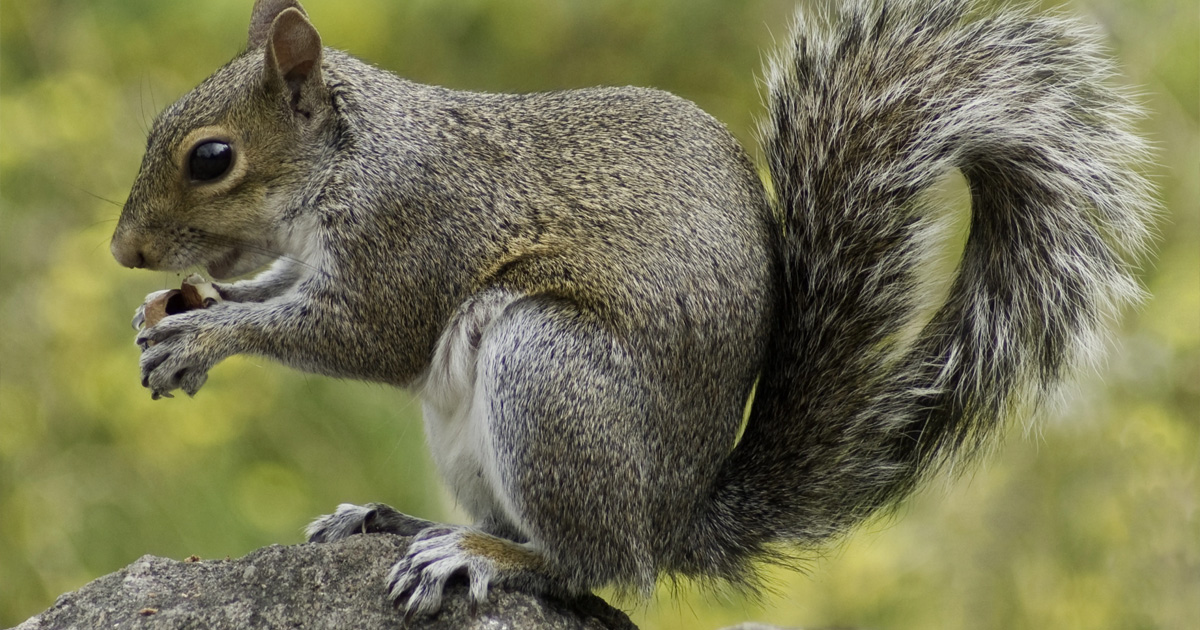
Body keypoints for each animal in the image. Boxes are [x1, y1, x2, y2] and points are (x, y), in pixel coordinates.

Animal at [110, 0, 1152, 619]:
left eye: (212, 158)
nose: (126, 252)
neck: (352, 158)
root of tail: (673, 518)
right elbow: (279, 291)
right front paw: (175, 310)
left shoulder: (414, 233)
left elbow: (360, 333)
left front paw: (204, 335)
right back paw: (397, 522)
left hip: (549, 375)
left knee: (592, 563)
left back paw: (477, 557)